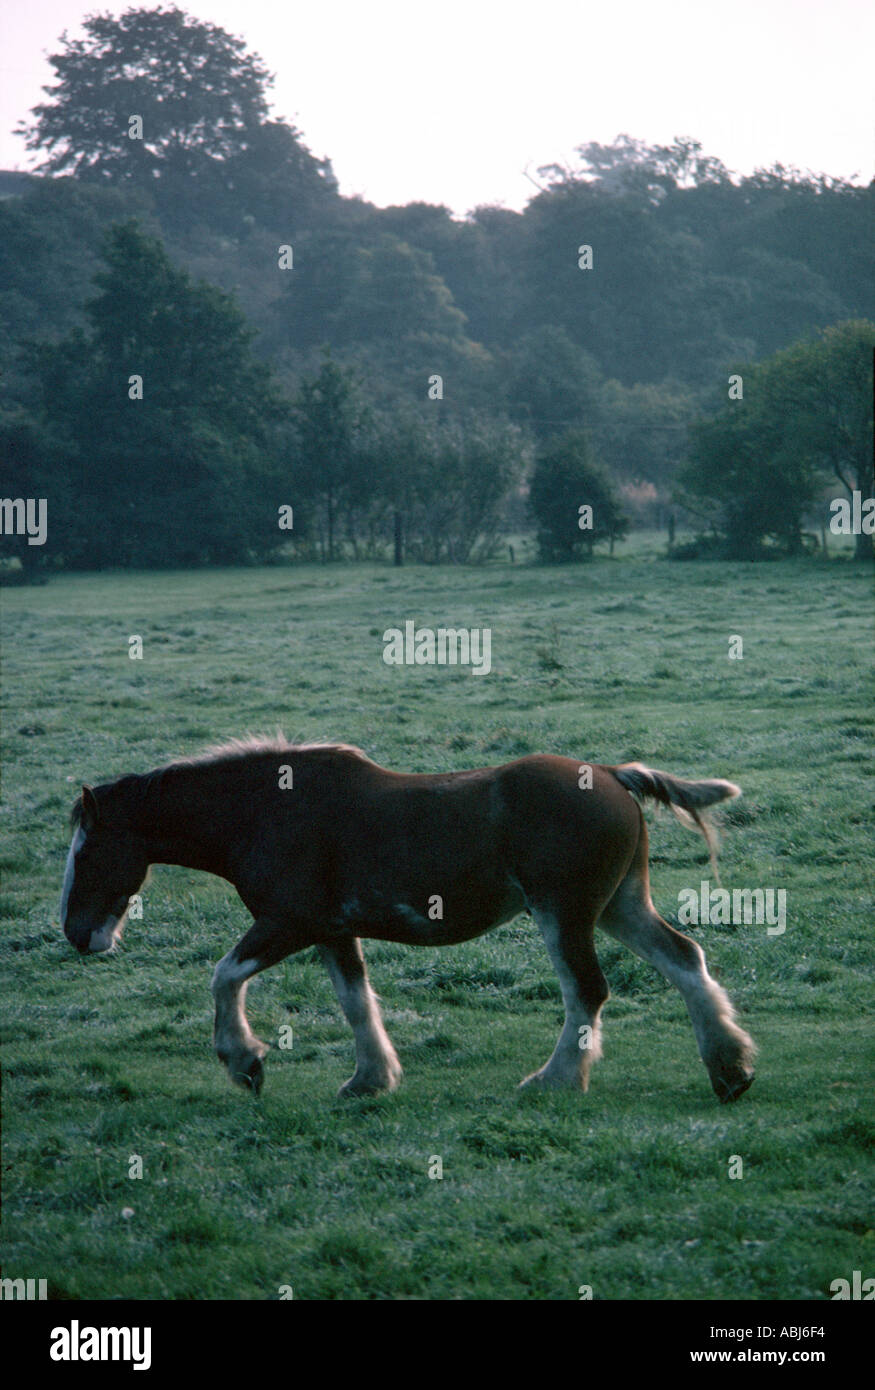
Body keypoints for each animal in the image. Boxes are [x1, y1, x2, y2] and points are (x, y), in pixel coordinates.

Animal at [60, 738, 756, 1104]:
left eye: (87, 851)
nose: (76, 933)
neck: (265, 810)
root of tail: (615, 774)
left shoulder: (288, 924)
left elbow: (224, 977)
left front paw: (245, 1061)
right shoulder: (334, 933)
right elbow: (355, 1003)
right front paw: (371, 1079)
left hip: (566, 915)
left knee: (587, 990)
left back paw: (555, 1080)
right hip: (619, 907)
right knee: (686, 961)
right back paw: (730, 1069)